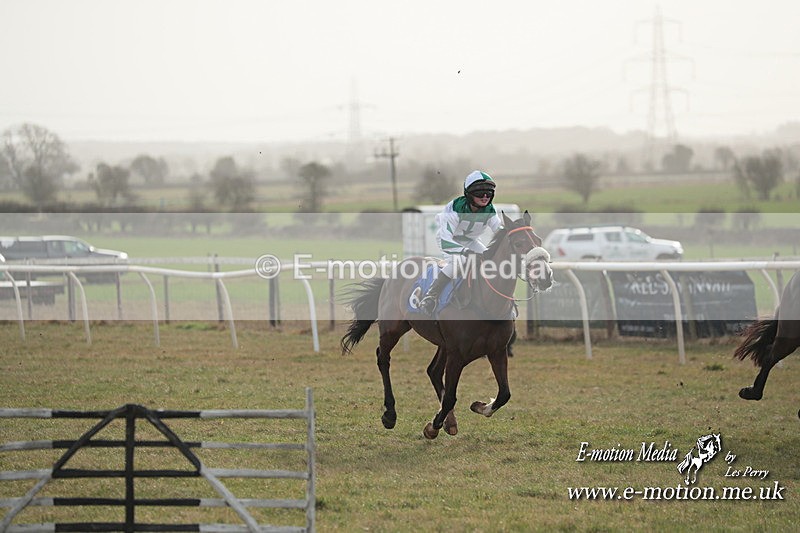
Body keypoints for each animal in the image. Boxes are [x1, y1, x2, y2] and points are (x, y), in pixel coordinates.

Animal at [340, 211, 553, 439]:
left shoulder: (497, 351)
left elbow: (504, 393)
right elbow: (451, 396)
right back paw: (390, 414)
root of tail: (393, 273)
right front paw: (433, 426)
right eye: (519, 243)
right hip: (393, 329)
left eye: (539, 241)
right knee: (383, 358)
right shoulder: (457, 355)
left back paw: (449, 420)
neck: (485, 302)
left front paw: (479, 406)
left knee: (433, 371)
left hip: (443, 343)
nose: (545, 277)